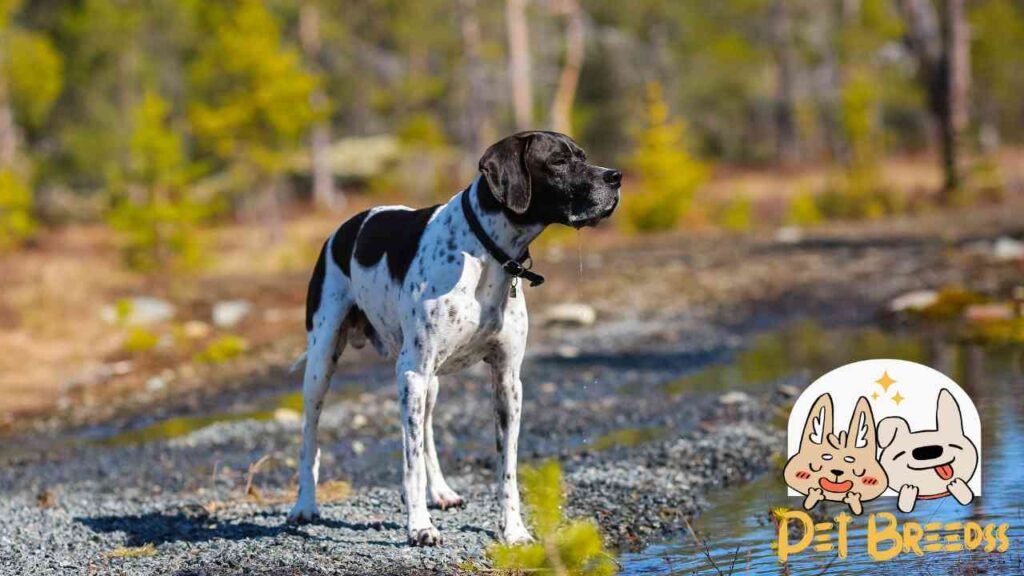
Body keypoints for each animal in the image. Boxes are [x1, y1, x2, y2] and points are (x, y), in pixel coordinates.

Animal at [284, 130, 618, 541]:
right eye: (557, 161)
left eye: (582, 156)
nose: (615, 178)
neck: (485, 252)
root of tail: (343, 227)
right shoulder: (412, 373)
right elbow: (410, 463)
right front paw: (419, 527)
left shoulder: (507, 381)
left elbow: (506, 468)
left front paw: (514, 531)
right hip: (323, 365)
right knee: (310, 439)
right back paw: (305, 505)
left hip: (429, 383)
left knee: (425, 431)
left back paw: (440, 491)